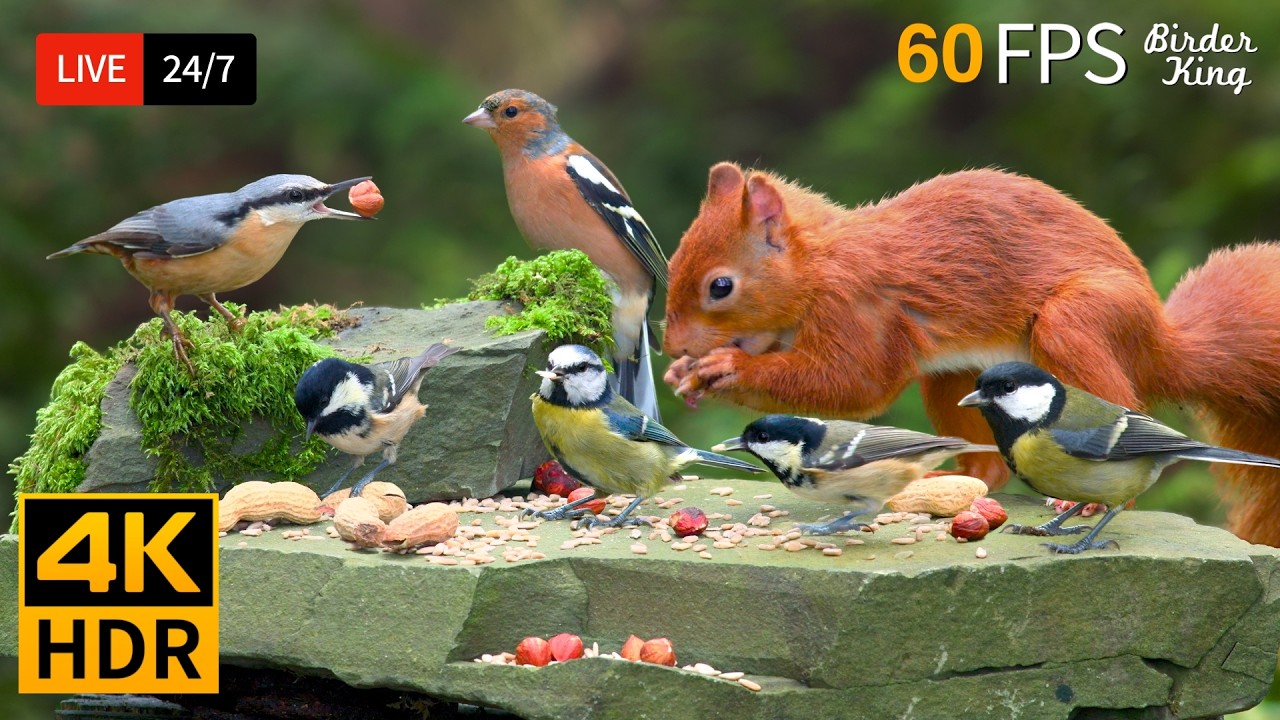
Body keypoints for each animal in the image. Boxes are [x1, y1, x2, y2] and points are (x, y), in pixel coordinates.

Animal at [663, 162, 1280, 547]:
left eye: (721, 286)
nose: (670, 344)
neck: (820, 263)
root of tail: (1156, 337)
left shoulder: (858, 307)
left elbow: (854, 383)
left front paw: (725, 369)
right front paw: (684, 374)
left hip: (1080, 322)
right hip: (956, 378)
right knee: (987, 462)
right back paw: (953, 482)